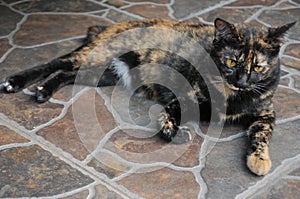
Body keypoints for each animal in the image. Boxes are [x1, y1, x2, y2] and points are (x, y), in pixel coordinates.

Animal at [0, 17, 296, 175]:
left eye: (258, 67)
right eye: (231, 62)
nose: (242, 81)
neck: (231, 97)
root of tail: (111, 26)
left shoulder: (266, 113)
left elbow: (261, 135)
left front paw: (259, 160)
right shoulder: (183, 96)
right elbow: (172, 114)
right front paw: (172, 131)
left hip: (103, 73)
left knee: (65, 73)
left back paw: (43, 90)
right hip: (96, 57)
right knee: (58, 62)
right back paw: (17, 82)